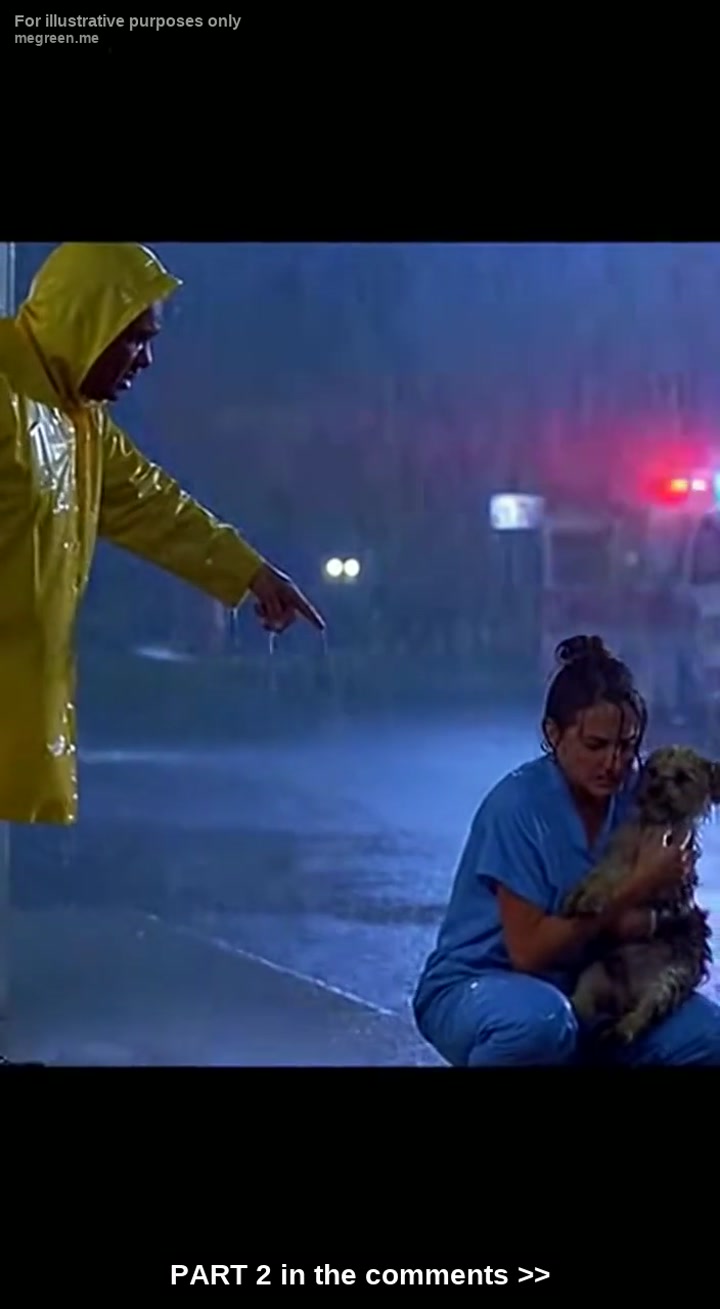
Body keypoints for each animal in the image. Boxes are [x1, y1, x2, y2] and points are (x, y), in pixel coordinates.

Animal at [562, 746, 717, 1045]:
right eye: (652, 771)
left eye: (682, 777)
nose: (654, 788)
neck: (654, 825)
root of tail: (627, 996)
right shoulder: (619, 853)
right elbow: (603, 874)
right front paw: (581, 894)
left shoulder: (669, 877)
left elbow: (621, 882)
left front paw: (593, 897)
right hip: (597, 971)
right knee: (584, 1001)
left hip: (670, 977)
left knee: (646, 1010)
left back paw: (624, 1028)